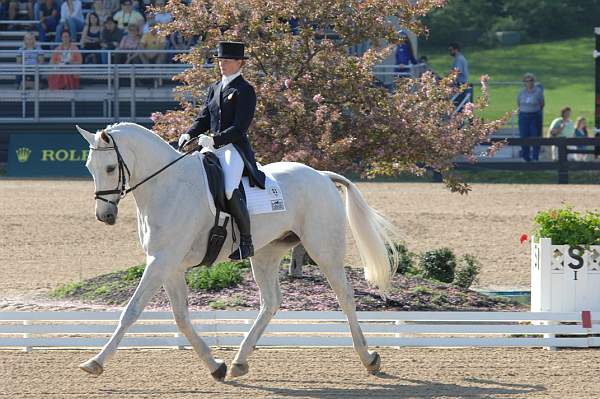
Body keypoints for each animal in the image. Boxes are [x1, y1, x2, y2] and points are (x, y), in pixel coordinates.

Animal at [77, 122, 400, 382]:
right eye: (89, 168)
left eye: (110, 168)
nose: (105, 216)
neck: (166, 186)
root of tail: (320, 174)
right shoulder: (170, 266)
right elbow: (181, 317)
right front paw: (216, 366)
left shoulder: (161, 261)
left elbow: (131, 311)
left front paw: (95, 362)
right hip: (266, 253)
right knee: (271, 302)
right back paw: (239, 362)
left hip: (324, 249)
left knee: (344, 295)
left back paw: (369, 358)